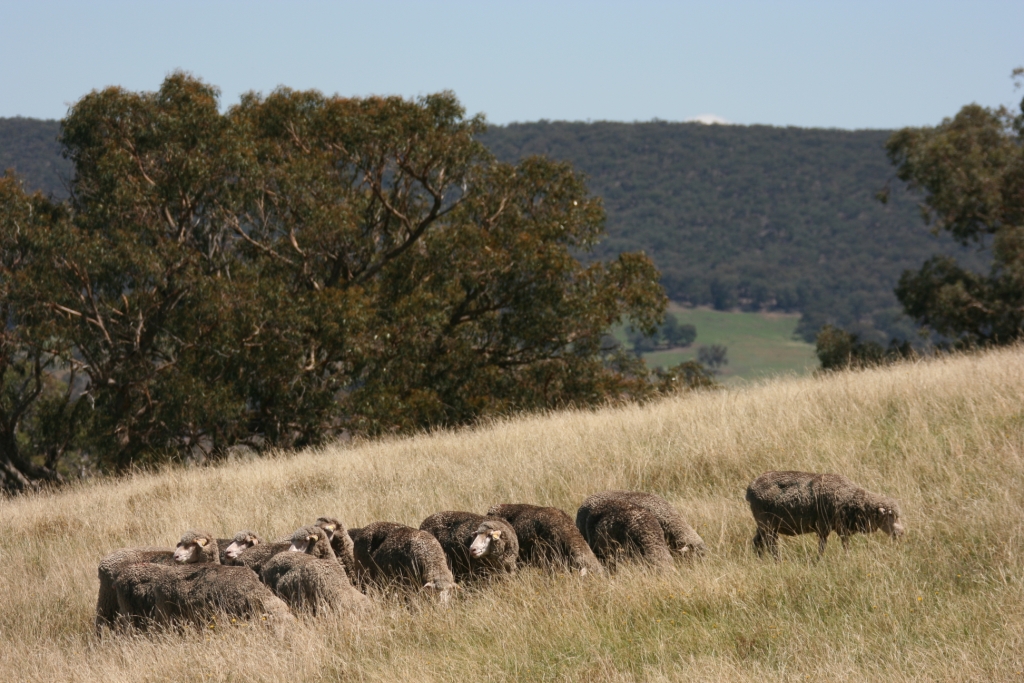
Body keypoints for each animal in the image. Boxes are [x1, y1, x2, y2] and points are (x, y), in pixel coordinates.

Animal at [745, 471, 905, 561]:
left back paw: (760, 561)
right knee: (771, 545)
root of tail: (750, 489)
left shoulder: (840, 528)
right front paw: (820, 561)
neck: (850, 498)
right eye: (890, 516)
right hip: (767, 525)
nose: (901, 532)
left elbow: (843, 544)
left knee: (757, 542)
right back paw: (777, 561)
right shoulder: (826, 527)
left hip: (764, 526)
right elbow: (827, 546)